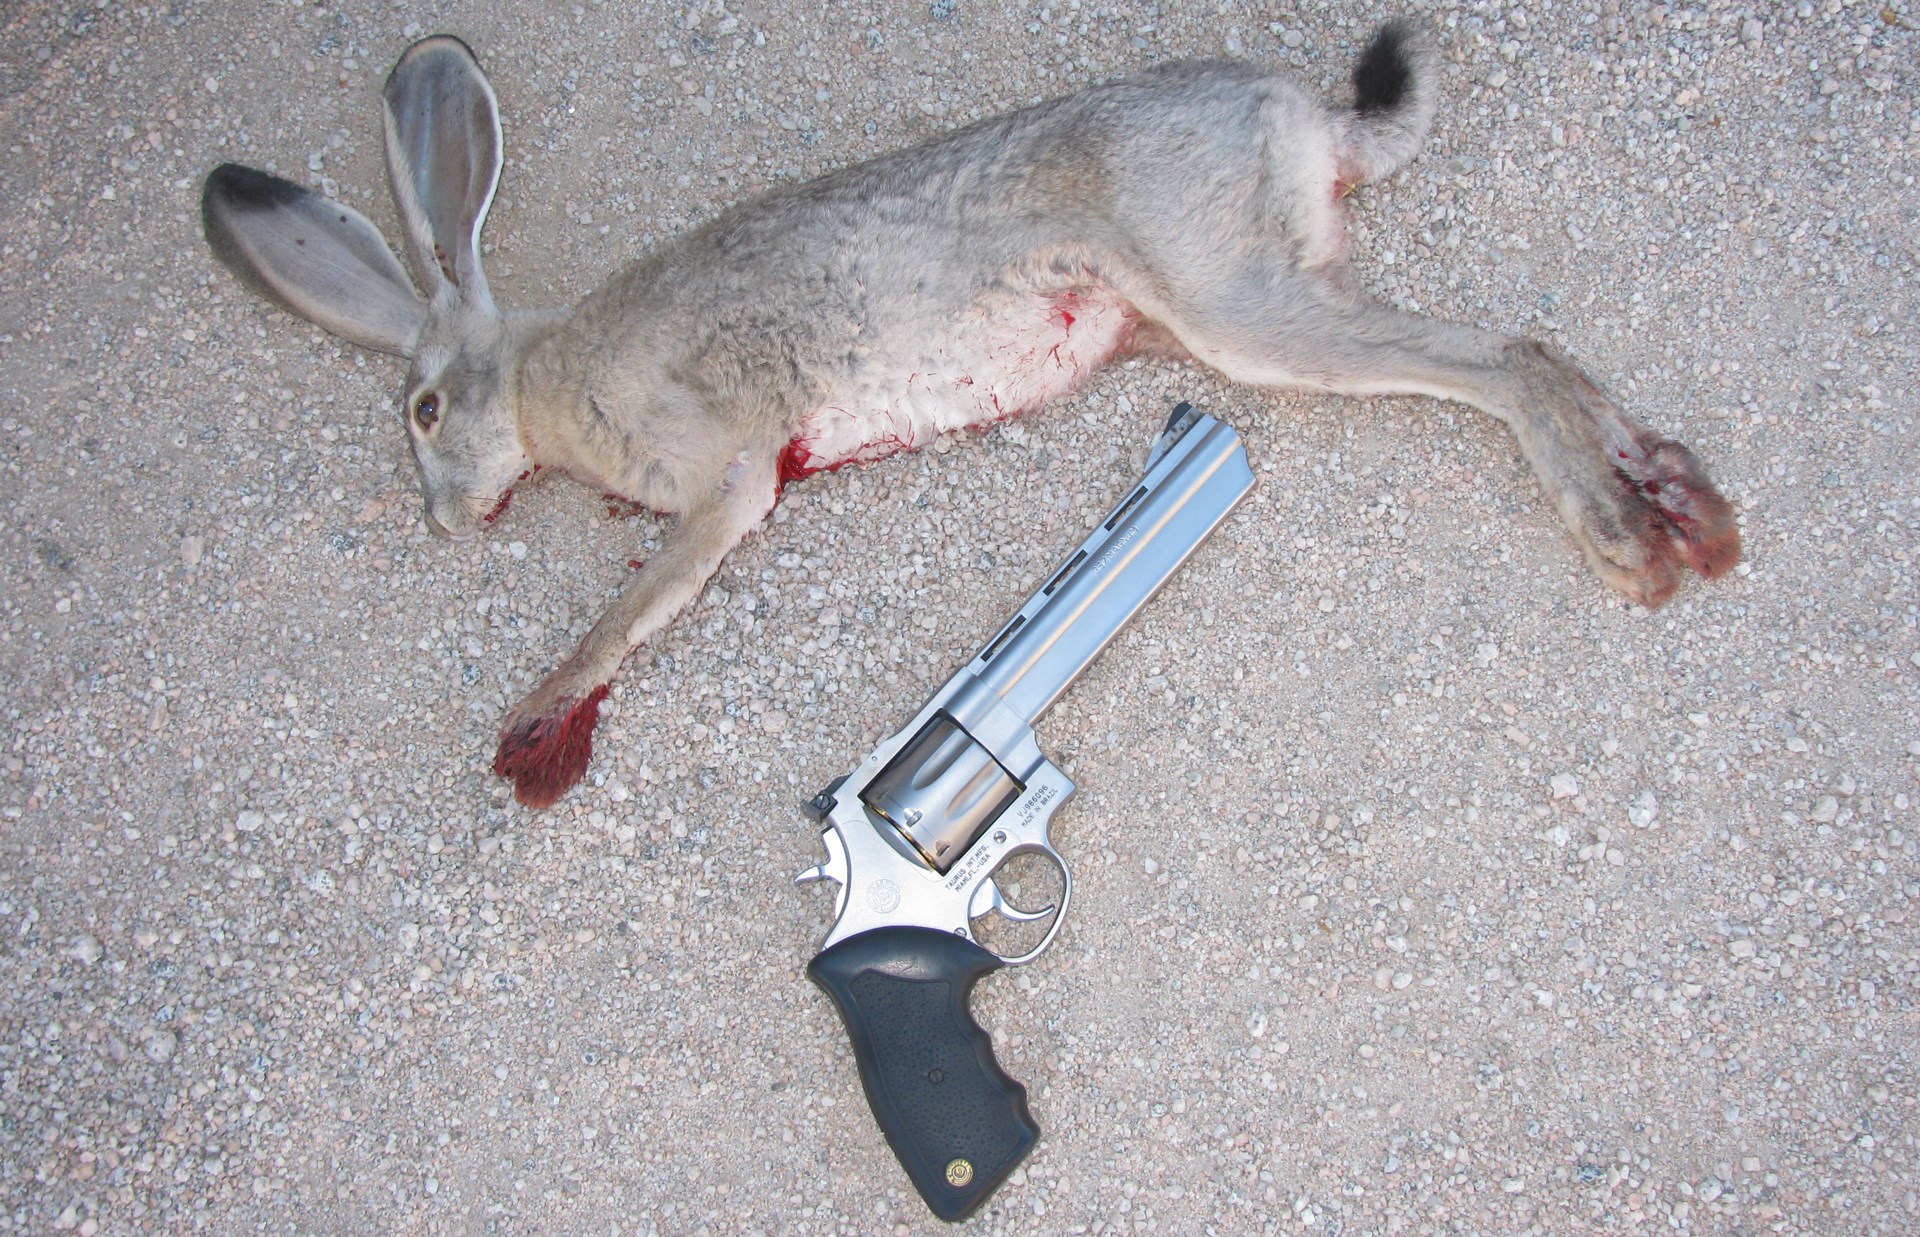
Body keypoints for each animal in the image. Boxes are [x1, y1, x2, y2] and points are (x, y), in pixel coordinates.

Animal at [200, 22, 1739, 810]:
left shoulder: (720, 487)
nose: (441, 518)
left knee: (1506, 357)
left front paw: (536, 726)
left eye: (422, 408)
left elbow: (623, 611)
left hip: (1240, 308)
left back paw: (1635, 537)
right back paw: (1686, 505)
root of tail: (1303, 114)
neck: (539, 375)